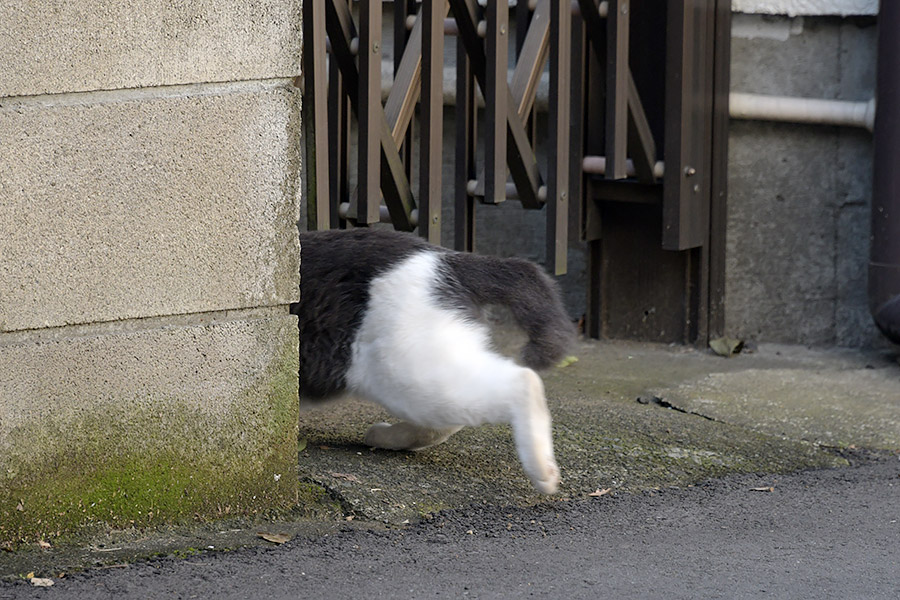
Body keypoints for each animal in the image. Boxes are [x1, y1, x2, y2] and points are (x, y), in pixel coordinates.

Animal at [296, 227, 576, 494]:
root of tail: (447, 257)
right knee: (447, 421)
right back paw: (386, 436)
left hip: (403, 371)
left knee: (523, 380)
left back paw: (542, 469)